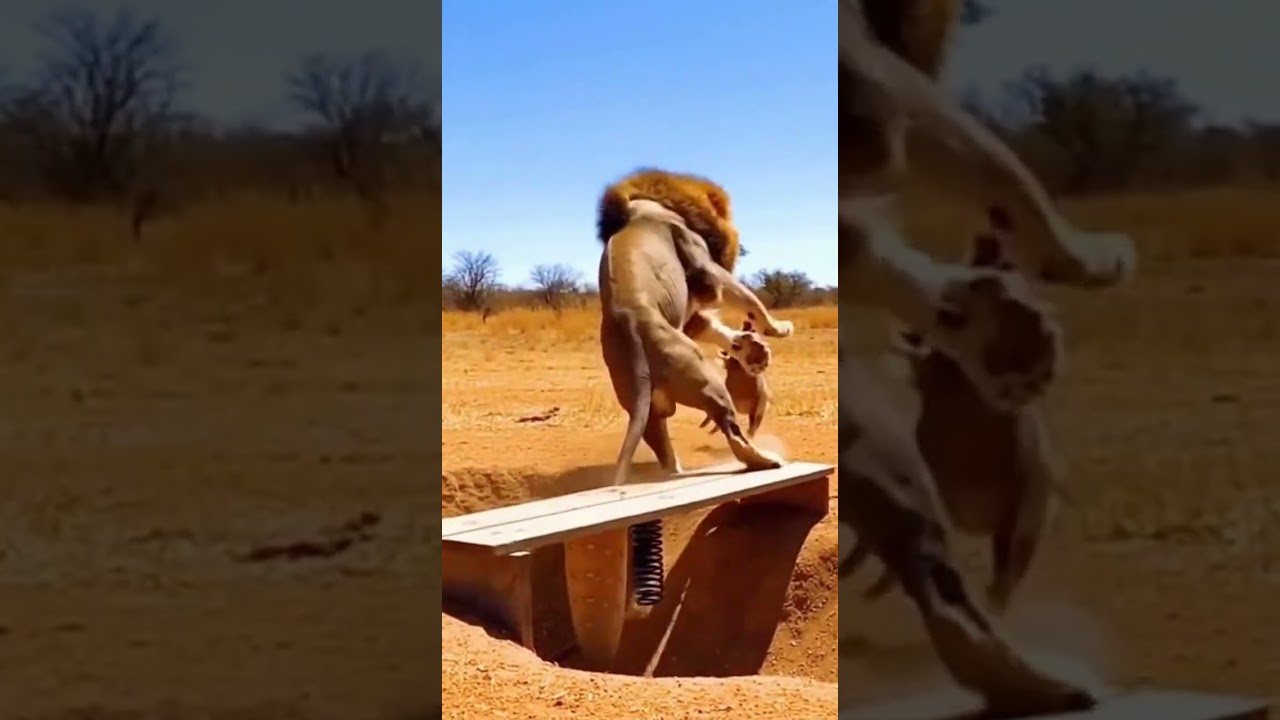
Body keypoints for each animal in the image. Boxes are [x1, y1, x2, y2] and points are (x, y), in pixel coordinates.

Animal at [597, 183, 793, 486]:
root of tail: (630, 327)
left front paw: (752, 350)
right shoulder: (707, 271)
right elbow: (749, 299)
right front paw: (778, 328)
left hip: (643, 405)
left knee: (661, 443)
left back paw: (679, 471)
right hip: (706, 378)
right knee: (732, 431)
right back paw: (767, 460)